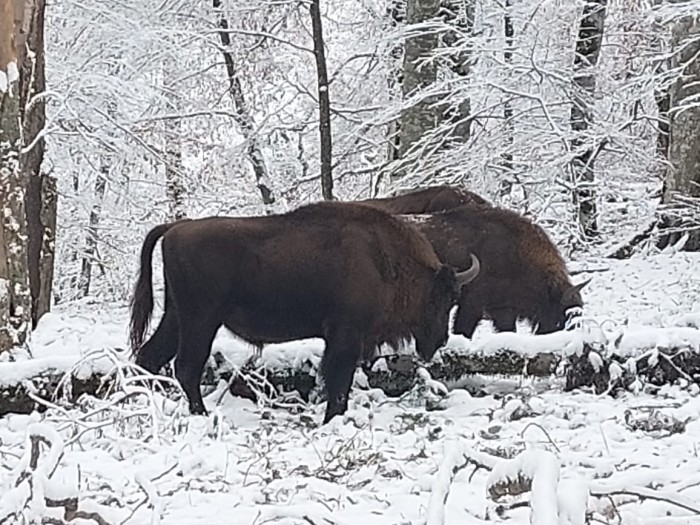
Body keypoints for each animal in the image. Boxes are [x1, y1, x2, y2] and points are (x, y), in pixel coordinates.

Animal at [127, 200, 482, 422]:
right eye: (437, 300)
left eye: (454, 300)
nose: (439, 340)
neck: (386, 261)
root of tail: (175, 228)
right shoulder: (344, 336)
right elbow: (338, 381)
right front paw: (332, 418)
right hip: (201, 320)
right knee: (185, 367)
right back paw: (200, 414)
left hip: (176, 317)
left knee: (149, 357)